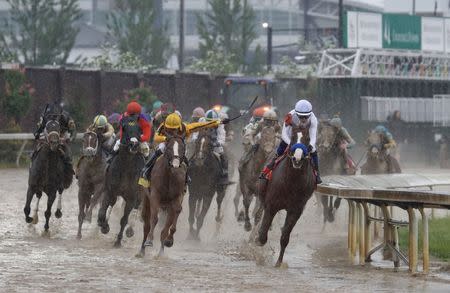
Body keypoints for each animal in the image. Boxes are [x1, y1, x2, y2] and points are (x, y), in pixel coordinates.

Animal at [255, 128, 314, 266]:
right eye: (292, 137)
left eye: (307, 138)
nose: (297, 159)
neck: (291, 182)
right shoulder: (271, 206)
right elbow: (262, 235)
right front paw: (256, 241)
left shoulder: (295, 210)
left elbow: (285, 237)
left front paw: (279, 263)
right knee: (259, 216)